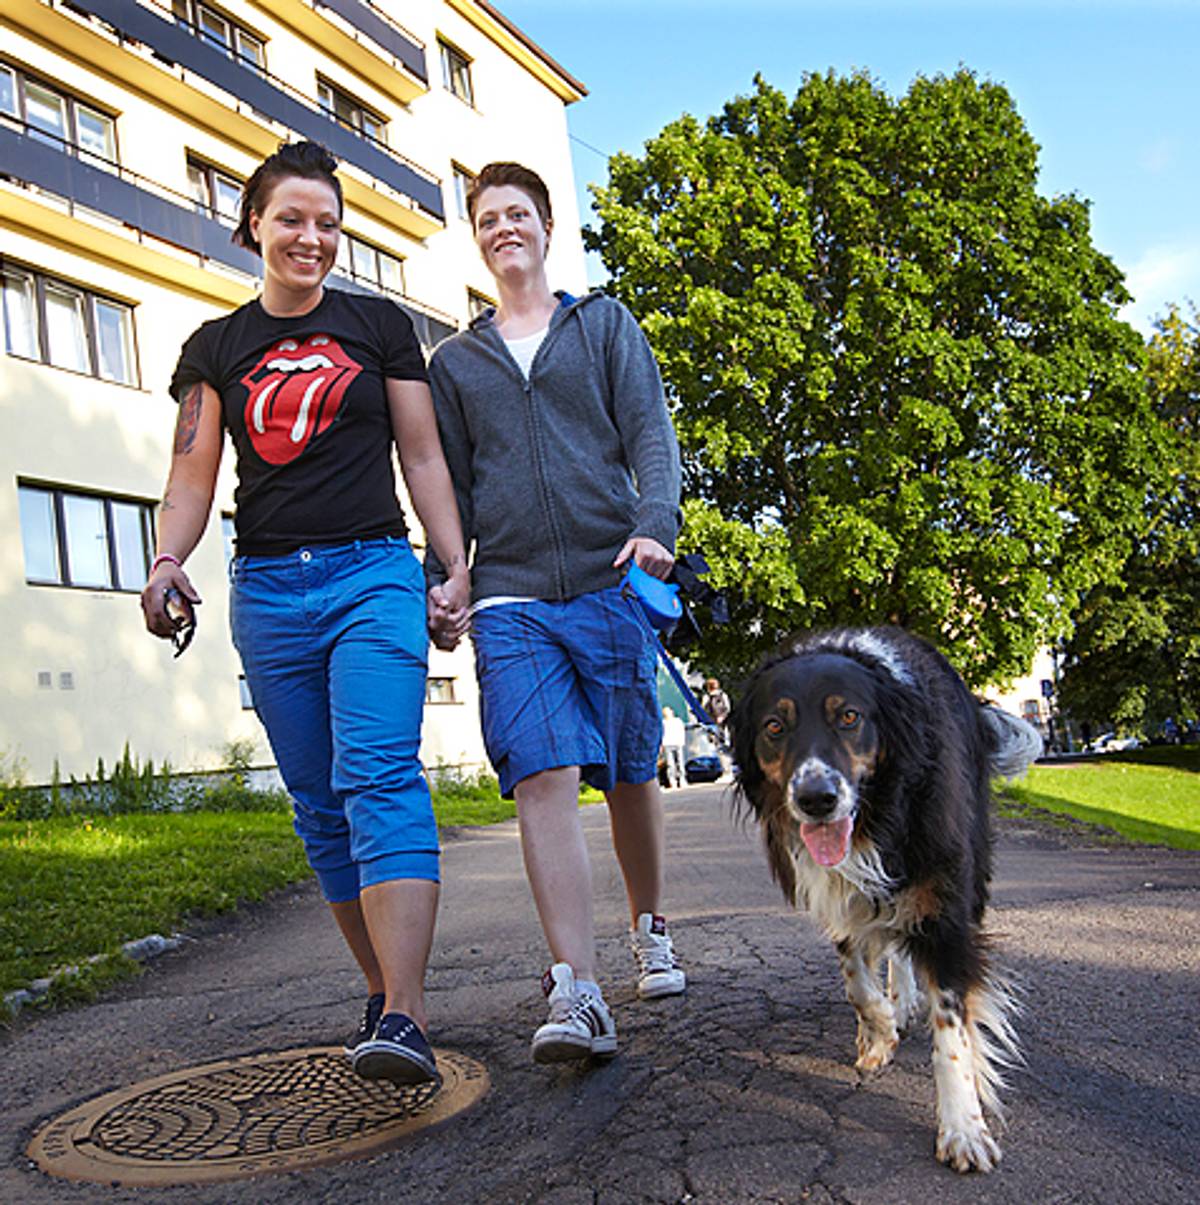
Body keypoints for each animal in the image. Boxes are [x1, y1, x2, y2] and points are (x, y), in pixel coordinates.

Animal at [732, 626, 1040, 1171]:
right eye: (774, 726)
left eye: (849, 717)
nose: (816, 800)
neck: (877, 814)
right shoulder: (840, 895)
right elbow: (857, 979)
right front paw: (879, 1030)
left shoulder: (945, 908)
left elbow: (953, 1027)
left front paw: (964, 1126)